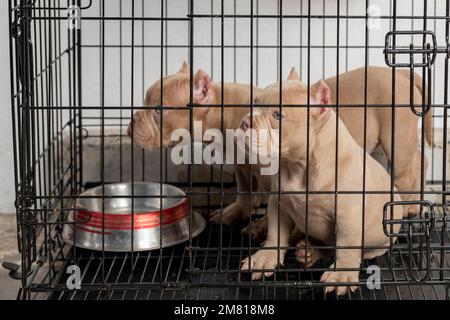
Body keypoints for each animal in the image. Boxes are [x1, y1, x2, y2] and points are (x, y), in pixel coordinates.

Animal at [241, 79, 402, 296]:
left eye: (277, 115)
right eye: (254, 104)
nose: (245, 122)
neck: (298, 165)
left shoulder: (348, 215)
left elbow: (346, 245)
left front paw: (341, 276)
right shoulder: (278, 203)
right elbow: (276, 233)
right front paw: (265, 257)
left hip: (380, 241)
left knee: (341, 249)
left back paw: (310, 252)